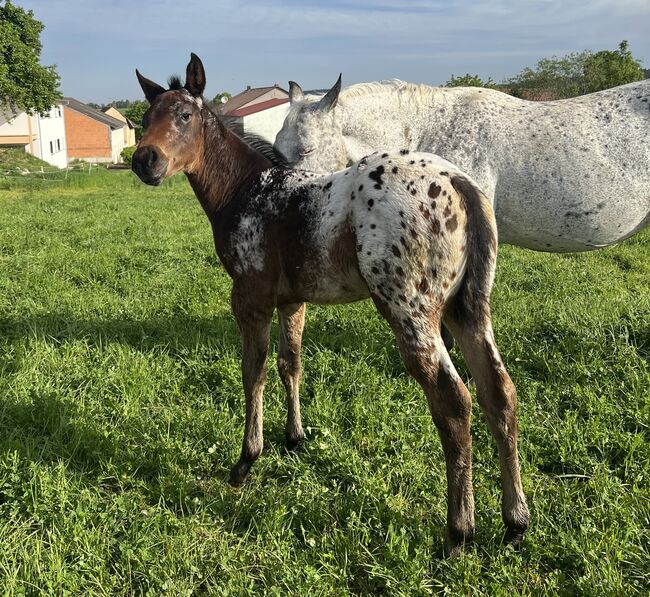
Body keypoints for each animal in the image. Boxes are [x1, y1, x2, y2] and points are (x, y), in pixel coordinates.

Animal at [130, 54, 528, 556]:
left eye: (184, 115)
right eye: (145, 118)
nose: (144, 160)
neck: (250, 192)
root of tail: (458, 181)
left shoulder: (250, 297)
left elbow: (254, 371)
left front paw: (245, 462)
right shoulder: (292, 301)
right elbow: (291, 363)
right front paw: (295, 437)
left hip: (411, 313)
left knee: (454, 403)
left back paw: (458, 532)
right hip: (467, 310)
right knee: (500, 393)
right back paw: (515, 522)